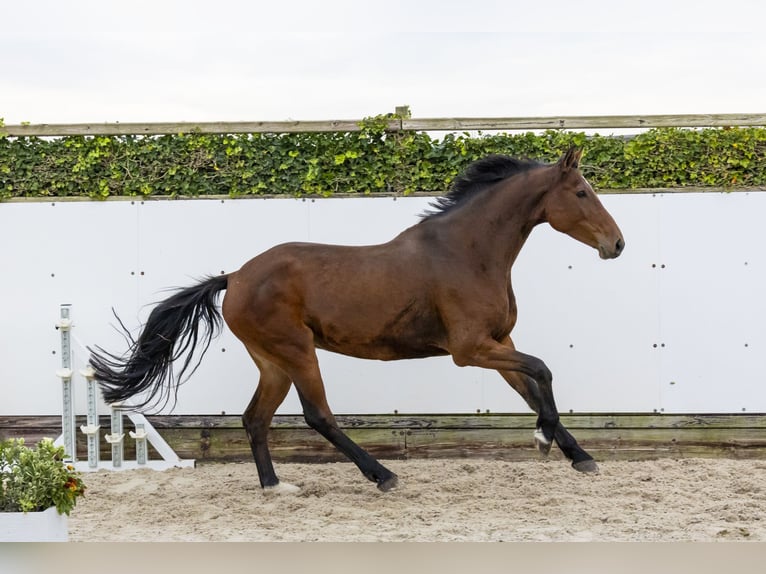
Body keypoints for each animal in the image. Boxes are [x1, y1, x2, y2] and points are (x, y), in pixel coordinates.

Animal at [93, 150, 628, 496]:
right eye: (582, 192)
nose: (617, 244)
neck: (467, 252)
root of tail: (235, 276)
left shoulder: (499, 341)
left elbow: (532, 388)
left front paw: (579, 457)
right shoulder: (471, 349)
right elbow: (543, 370)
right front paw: (544, 441)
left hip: (272, 361)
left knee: (255, 418)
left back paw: (274, 486)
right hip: (297, 351)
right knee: (318, 415)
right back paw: (382, 475)